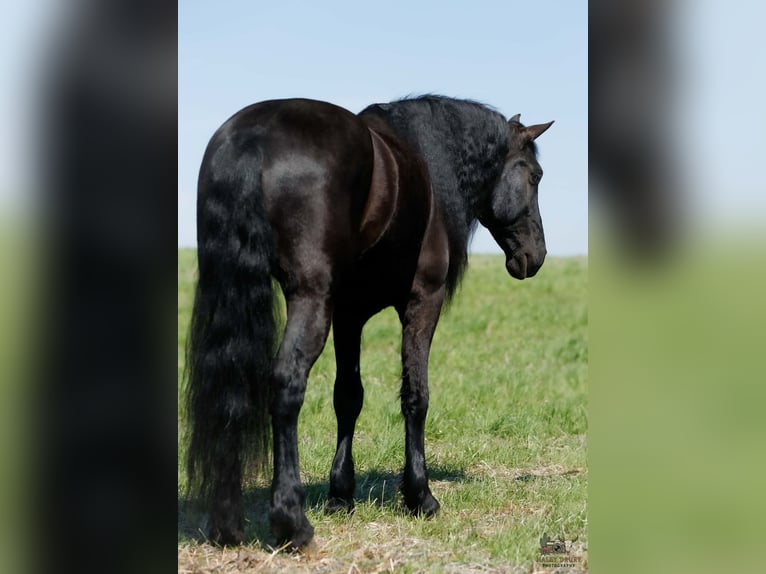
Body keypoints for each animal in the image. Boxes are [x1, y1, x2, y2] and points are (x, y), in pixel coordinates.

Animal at [184, 95, 553, 549]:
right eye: (535, 175)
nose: (535, 255)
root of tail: (254, 137)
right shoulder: (421, 301)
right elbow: (416, 395)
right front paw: (419, 496)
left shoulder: (349, 313)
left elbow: (348, 397)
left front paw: (341, 494)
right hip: (310, 300)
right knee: (287, 385)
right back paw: (291, 521)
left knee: (229, 389)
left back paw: (227, 522)